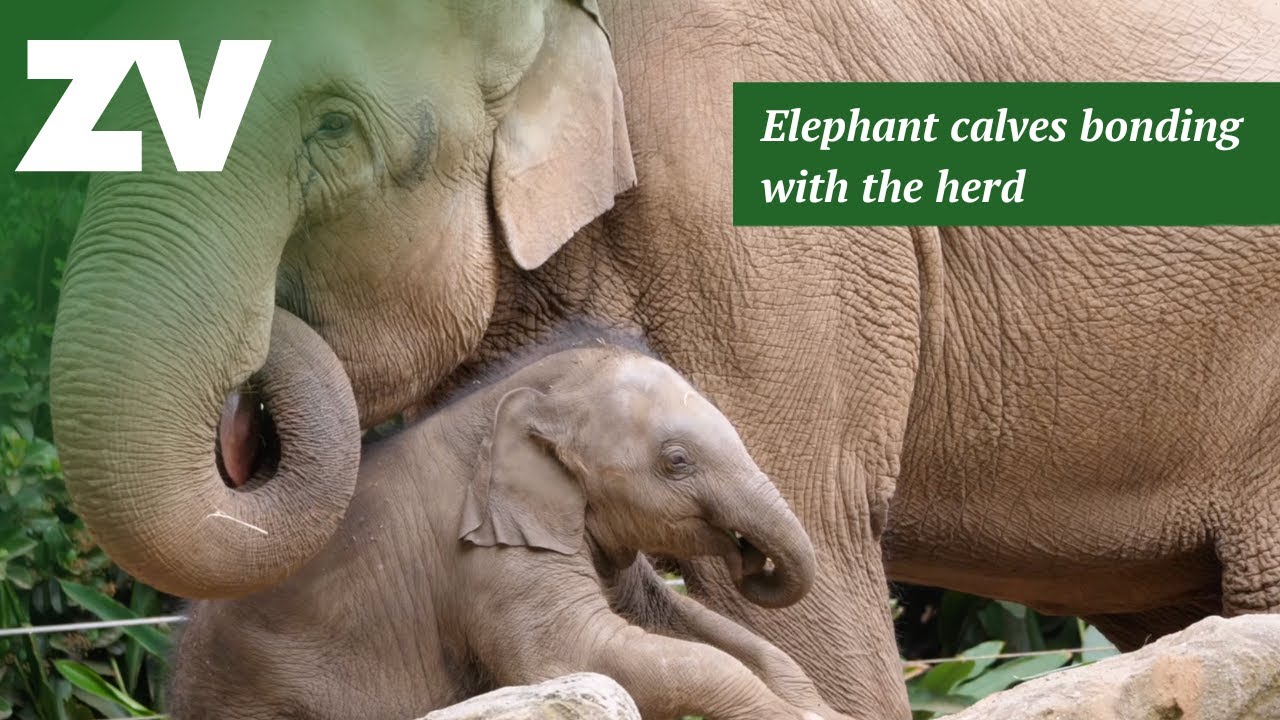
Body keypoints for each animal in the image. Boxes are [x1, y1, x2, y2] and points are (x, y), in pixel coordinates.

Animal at [168, 331, 848, 720]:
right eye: (676, 461)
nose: (748, 558)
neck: (523, 391)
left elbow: (694, 629)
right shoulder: (487, 555)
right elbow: (577, 655)